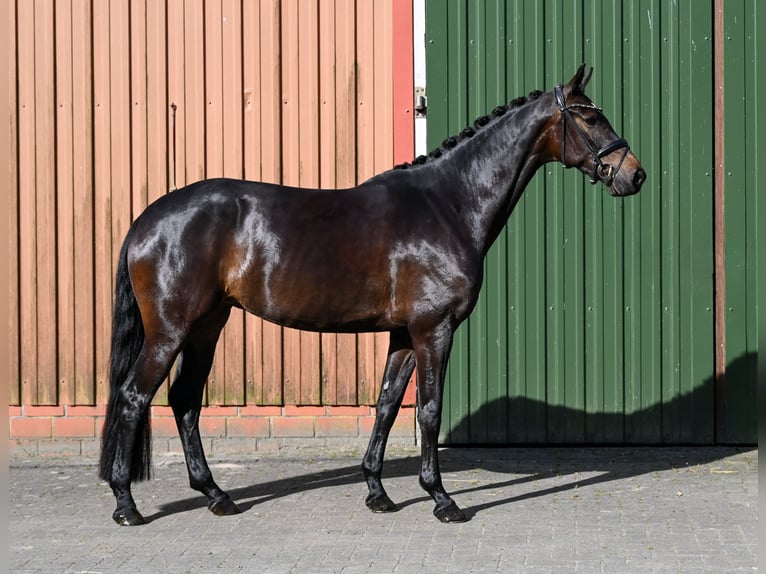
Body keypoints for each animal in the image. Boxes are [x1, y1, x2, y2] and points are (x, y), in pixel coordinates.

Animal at [99, 64, 645, 526]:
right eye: (590, 117)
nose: (634, 173)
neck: (448, 204)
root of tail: (147, 219)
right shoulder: (433, 329)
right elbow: (429, 410)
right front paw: (442, 499)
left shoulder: (404, 334)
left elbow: (386, 405)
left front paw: (378, 493)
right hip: (170, 331)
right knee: (133, 396)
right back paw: (126, 504)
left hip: (207, 327)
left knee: (185, 401)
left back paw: (216, 495)